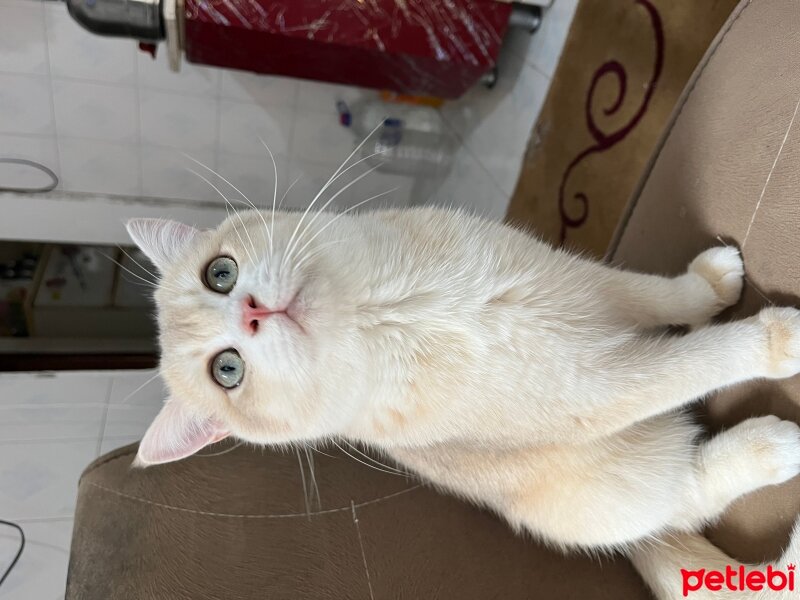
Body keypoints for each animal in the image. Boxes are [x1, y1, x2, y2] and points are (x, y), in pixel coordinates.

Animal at [125, 207, 800, 600]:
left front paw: (708, 285)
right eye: (227, 370)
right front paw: (772, 341)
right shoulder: (593, 389)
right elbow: (687, 364)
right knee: (687, 495)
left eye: (219, 273)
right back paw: (771, 447)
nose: (252, 313)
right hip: (594, 492)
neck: (393, 307)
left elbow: (652, 297)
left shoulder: (578, 283)